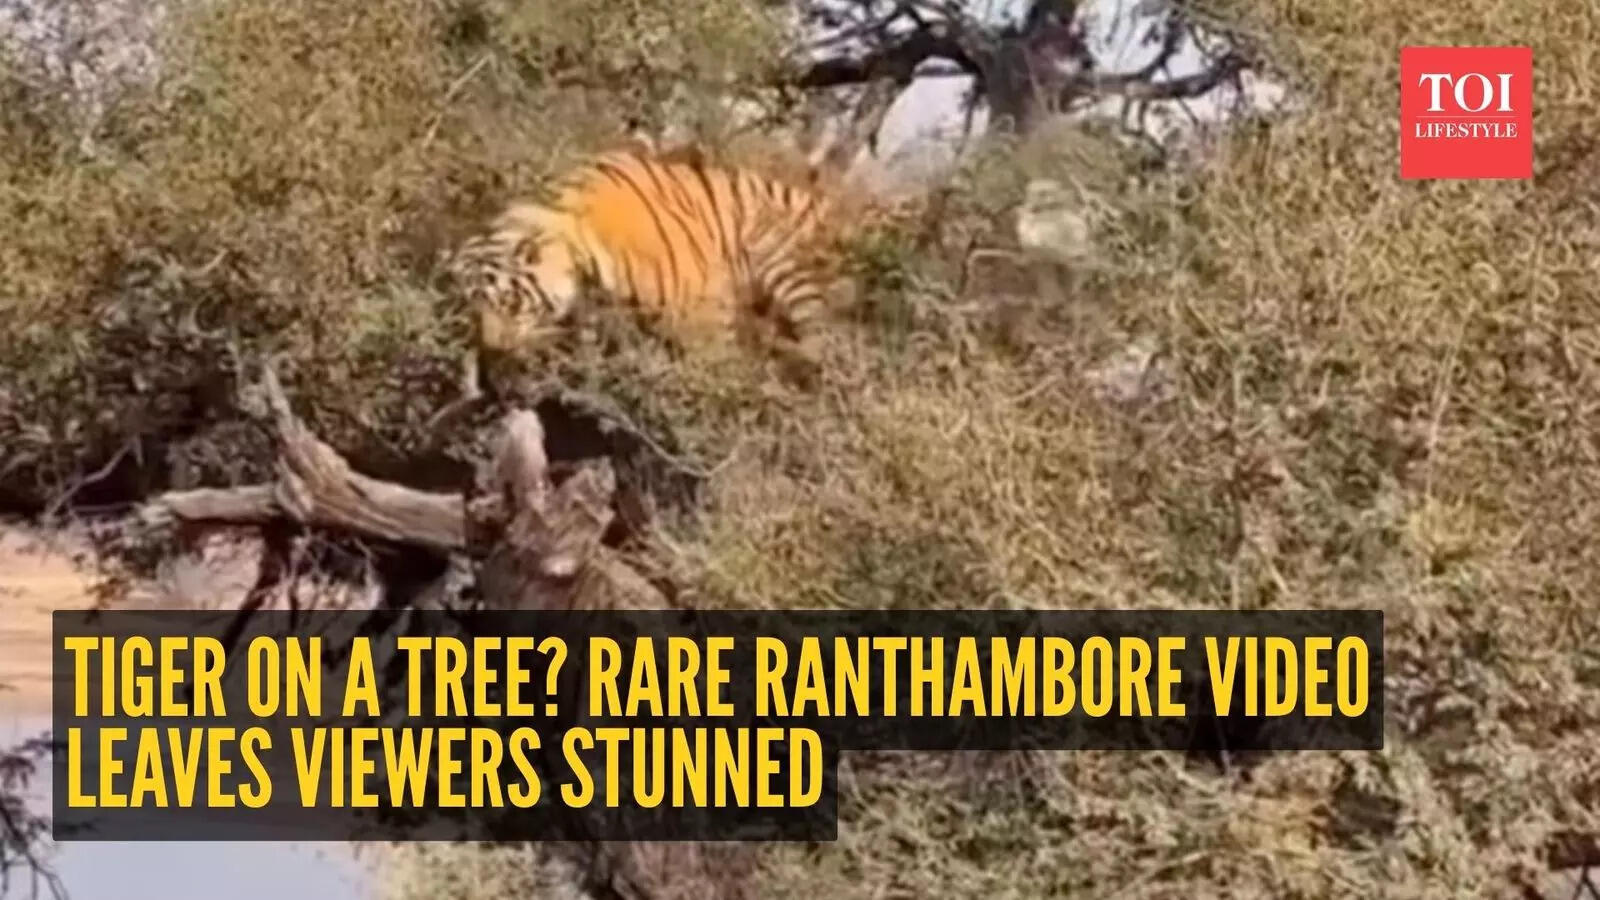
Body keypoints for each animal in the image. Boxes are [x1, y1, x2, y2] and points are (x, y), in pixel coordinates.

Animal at [431, 141, 852, 428]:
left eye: (511, 303)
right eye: (471, 316)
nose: (495, 352)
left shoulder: (703, 319)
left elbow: (716, 372)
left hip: (785, 262)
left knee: (821, 341)